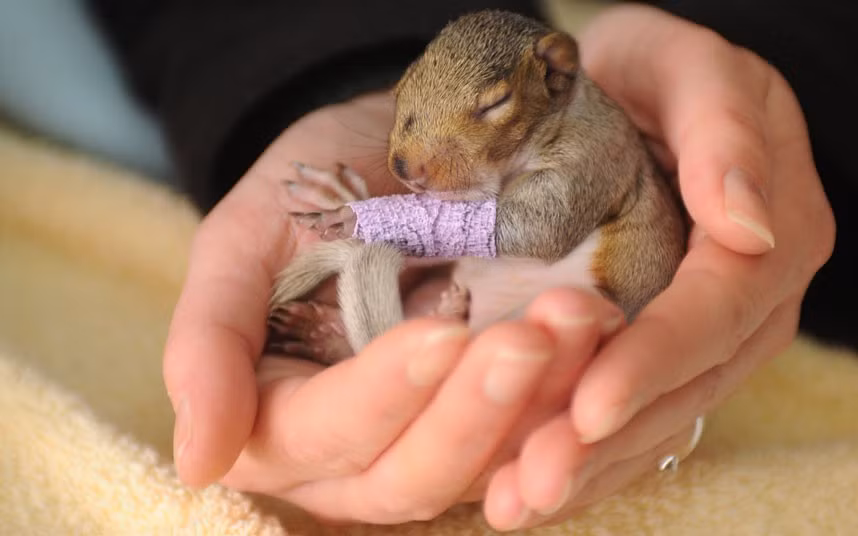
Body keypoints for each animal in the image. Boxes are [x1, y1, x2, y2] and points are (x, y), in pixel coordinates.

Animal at [264, 10, 687, 365]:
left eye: (497, 103)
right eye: (400, 84)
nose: (405, 167)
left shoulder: (591, 161)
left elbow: (543, 228)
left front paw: (352, 217)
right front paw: (350, 206)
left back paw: (448, 320)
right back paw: (326, 334)